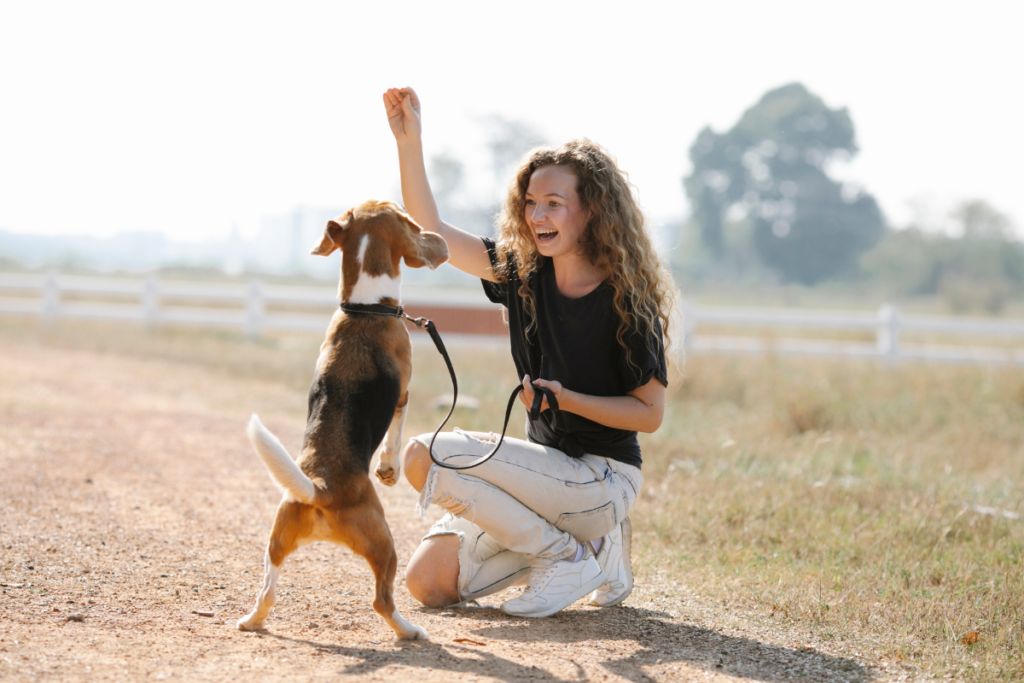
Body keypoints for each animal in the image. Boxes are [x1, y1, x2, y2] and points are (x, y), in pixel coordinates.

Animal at [241, 198, 450, 643]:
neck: (365, 308)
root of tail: (321, 488)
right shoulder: (404, 393)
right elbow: (395, 434)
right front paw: (389, 469)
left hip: (275, 540)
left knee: (267, 591)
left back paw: (251, 620)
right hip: (385, 543)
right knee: (382, 601)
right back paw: (410, 631)